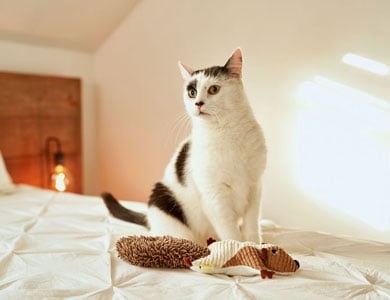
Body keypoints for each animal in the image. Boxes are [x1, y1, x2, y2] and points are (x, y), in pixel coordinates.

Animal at [100, 49, 266, 246]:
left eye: (214, 89)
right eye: (192, 92)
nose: (198, 103)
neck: (227, 132)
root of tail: (148, 217)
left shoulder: (255, 187)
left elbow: (251, 225)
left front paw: (254, 245)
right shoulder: (214, 196)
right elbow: (230, 231)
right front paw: (237, 248)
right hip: (163, 198)